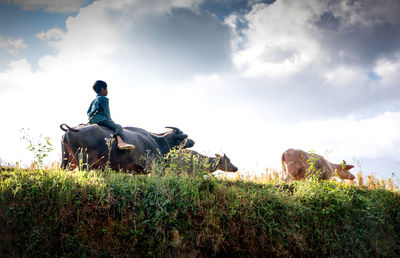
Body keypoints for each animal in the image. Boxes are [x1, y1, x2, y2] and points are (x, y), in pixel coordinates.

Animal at [59, 123, 195, 172]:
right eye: (183, 135)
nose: (192, 141)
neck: (157, 142)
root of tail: (70, 130)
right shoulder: (153, 169)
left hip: (66, 161)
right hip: (85, 162)